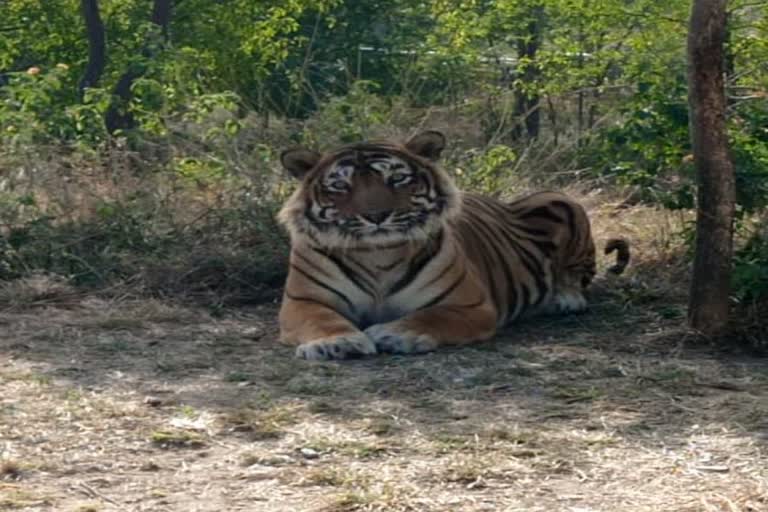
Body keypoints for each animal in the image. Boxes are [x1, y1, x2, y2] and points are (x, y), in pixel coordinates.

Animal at [280, 131, 628, 360]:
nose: (376, 215)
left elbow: (430, 317)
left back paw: (563, 298)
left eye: (397, 179)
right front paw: (337, 343)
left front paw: (395, 333)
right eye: (341, 185)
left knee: (579, 276)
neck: (378, 255)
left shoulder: (469, 304)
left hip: (559, 200)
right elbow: (321, 320)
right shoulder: (303, 301)